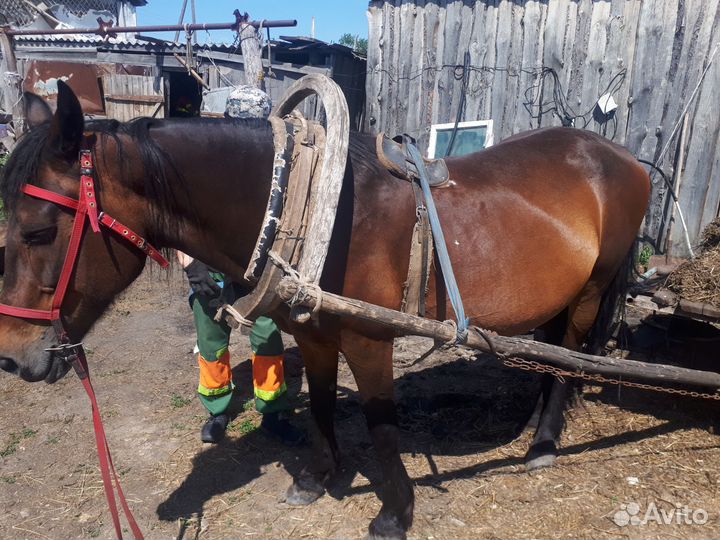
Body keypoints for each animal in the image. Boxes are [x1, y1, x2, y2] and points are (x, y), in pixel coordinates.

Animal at [0, 81, 650, 540]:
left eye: (37, 232)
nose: (13, 357)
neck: (321, 209)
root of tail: (623, 155)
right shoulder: (312, 333)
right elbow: (318, 404)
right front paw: (318, 477)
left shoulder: (369, 340)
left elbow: (383, 427)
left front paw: (395, 512)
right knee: (552, 355)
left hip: (591, 292)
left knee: (570, 357)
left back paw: (543, 443)